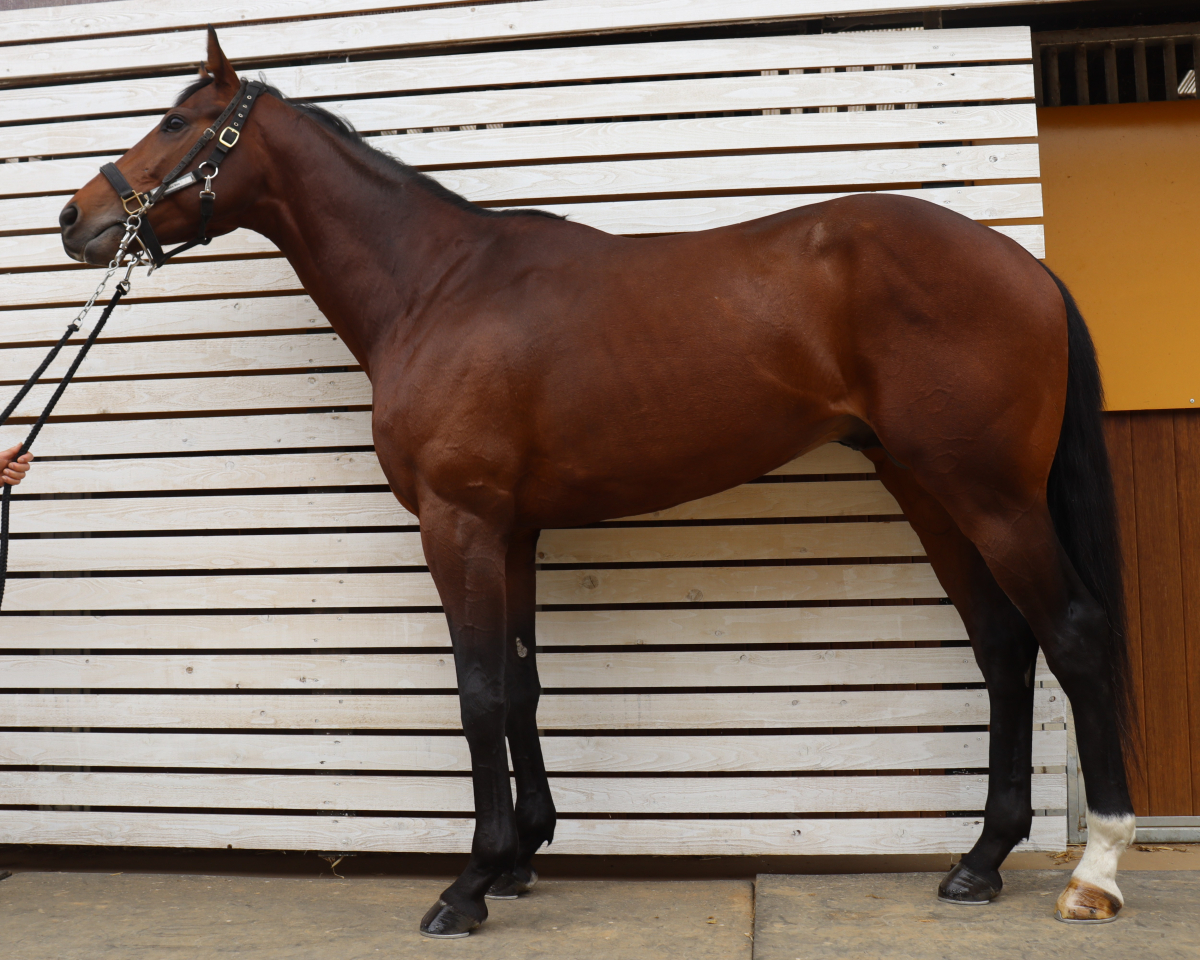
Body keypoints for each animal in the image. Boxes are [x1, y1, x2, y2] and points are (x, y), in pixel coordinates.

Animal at [59, 28, 1136, 938]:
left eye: (176, 122)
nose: (77, 217)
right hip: (931, 490)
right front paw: (523, 855)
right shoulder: (513, 530)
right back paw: (981, 860)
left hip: (991, 496)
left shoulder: (458, 523)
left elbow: (479, 692)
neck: (436, 287)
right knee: (1004, 647)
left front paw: (469, 883)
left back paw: (1095, 871)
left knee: (1072, 635)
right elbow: (522, 686)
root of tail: (1024, 267)